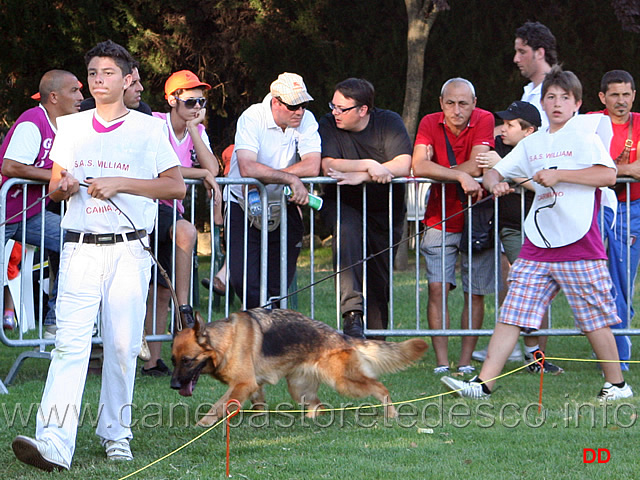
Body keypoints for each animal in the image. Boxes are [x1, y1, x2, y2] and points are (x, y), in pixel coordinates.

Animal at [172, 310, 428, 426]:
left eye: (187, 360)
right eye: (174, 360)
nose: (173, 385)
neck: (224, 341)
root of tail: (341, 336)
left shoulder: (243, 383)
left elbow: (219, 405)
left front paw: (203, 424)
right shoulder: (253, 385)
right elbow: (258, 403)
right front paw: (259, 419)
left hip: (344, 383)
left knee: (380, 387)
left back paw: (391, 414)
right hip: (298, 388)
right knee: (318, 405)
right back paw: (308, 419)